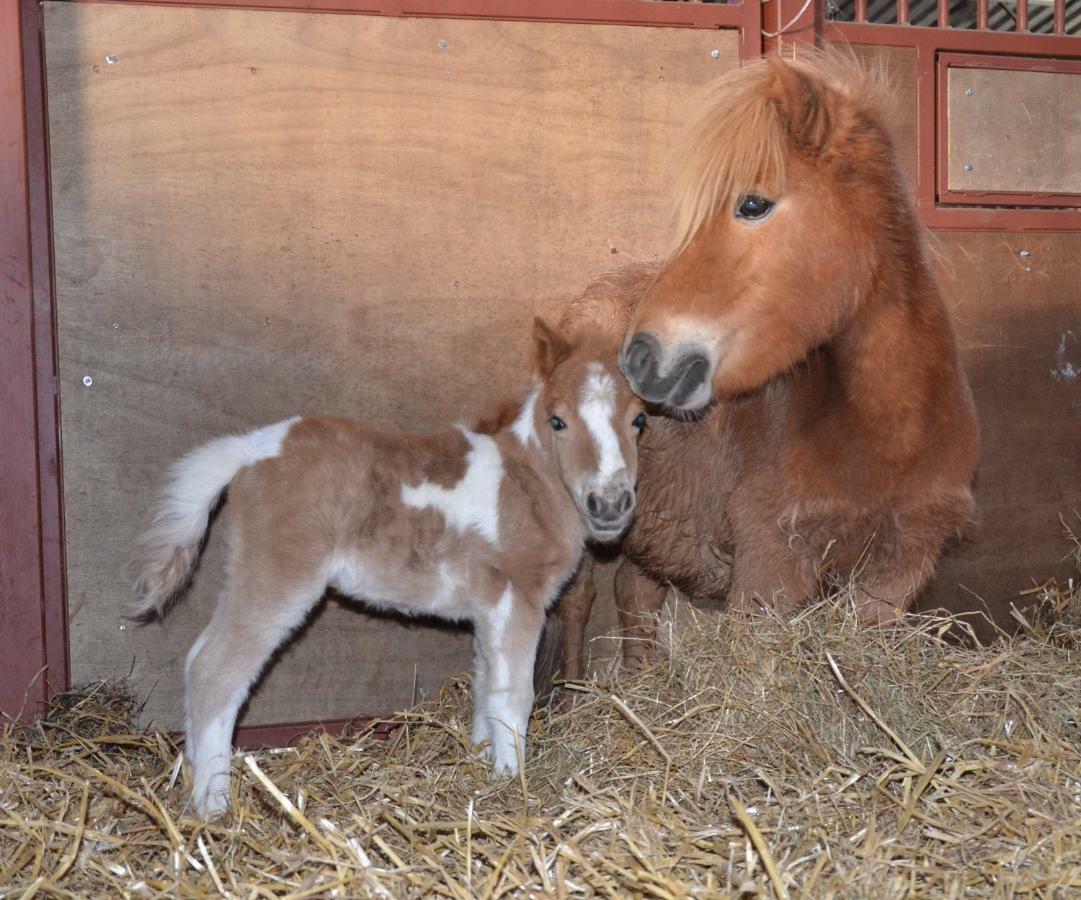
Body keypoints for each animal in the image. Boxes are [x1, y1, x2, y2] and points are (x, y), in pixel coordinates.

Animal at [132, 319, 639, 816]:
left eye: (638, 420)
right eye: (557, 421)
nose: (610, 503)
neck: (527, 481)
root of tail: (250, 449)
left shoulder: (487, 607)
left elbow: (484, 685)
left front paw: (479, 770)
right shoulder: (518, 597)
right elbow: (514, 694)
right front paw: (514, 785)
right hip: (279, 578)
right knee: (216, 671)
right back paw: (214, 808)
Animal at [549, 54, 981, 674]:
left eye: (752, 204)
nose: (640, 356)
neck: (889, 432)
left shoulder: (899, 568)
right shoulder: (769, 568)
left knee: (635, 594)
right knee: (577, 601)